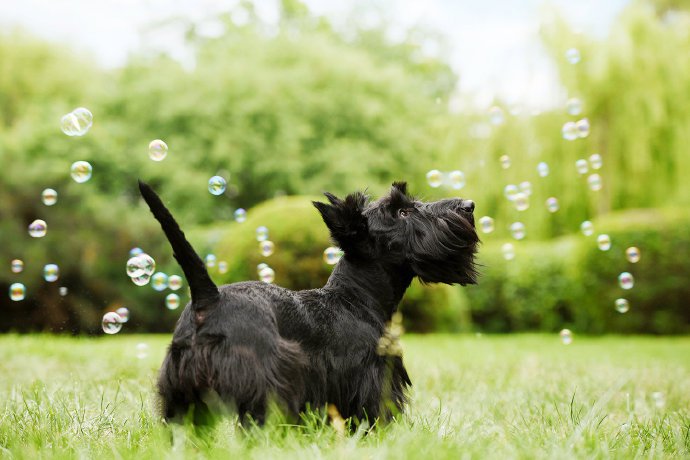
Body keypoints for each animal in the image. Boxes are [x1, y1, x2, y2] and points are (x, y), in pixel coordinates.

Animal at [137, 181, 476, 428]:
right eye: (403, 212)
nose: (469, 205)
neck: (355, 298)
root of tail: (209, 298)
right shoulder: (371, 376)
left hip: (182, 388)